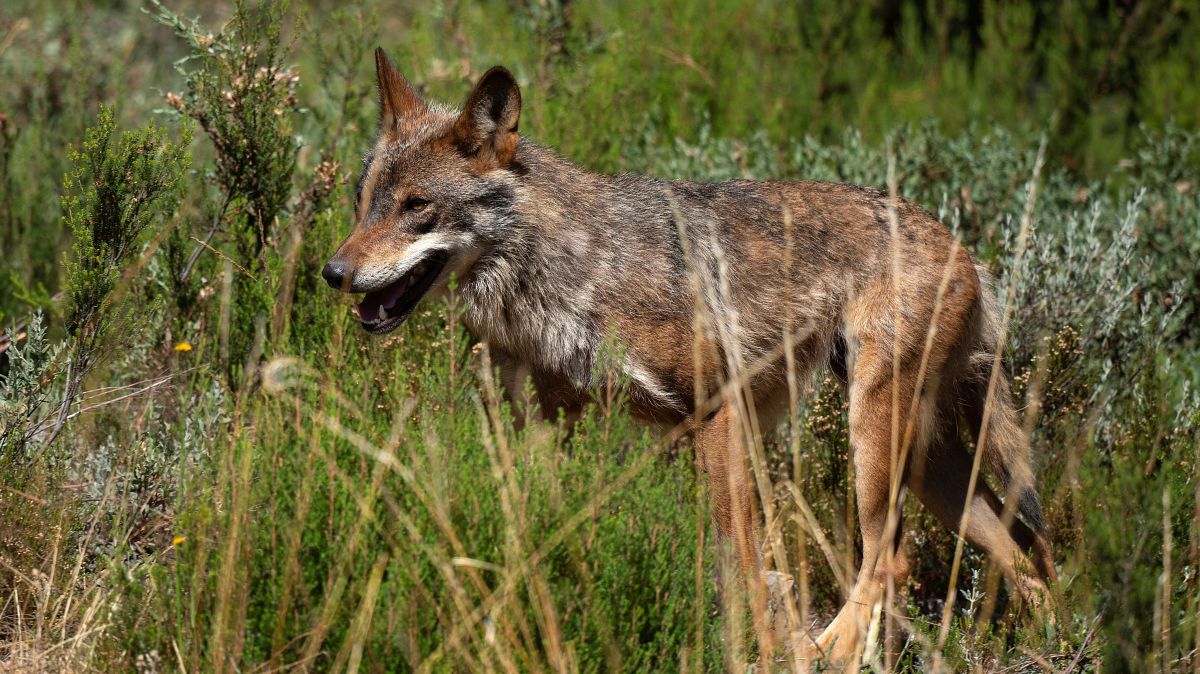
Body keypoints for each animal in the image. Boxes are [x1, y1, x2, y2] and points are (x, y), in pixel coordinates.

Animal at [322, 47, 1056, 664]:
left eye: (416, 207)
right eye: (364, 203)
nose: (332, 273)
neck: (567, 270)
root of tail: (968, 251)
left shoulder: (719, 411)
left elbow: (743, 565)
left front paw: (758, 651)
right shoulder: (547, 428)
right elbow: (530, 539)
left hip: (875, 443)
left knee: (892, 562)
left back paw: (828, 652)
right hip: (929, 466)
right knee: (1021, 551)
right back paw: (1051, 641)